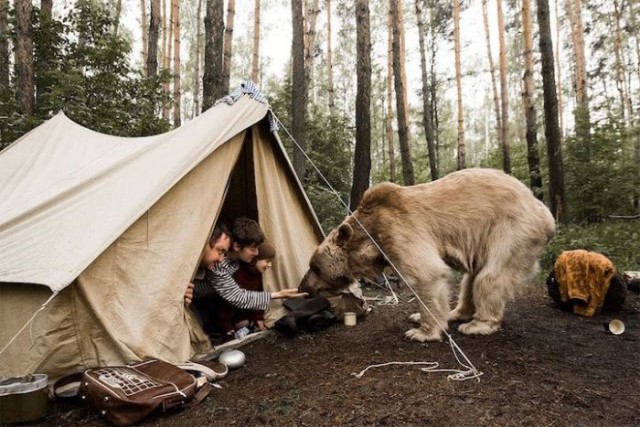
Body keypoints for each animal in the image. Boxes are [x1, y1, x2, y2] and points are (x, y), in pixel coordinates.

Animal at [300, 169, 556, 342]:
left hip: (512, 230)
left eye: (315, 266)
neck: (371, 236)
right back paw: (456, 313)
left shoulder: (399, 230)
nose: (304, 287)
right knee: (471, 278)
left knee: (490, 276)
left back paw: (477, 325)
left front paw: (420, 332)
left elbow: (426, 274)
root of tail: (545, 212)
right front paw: (417, 317)